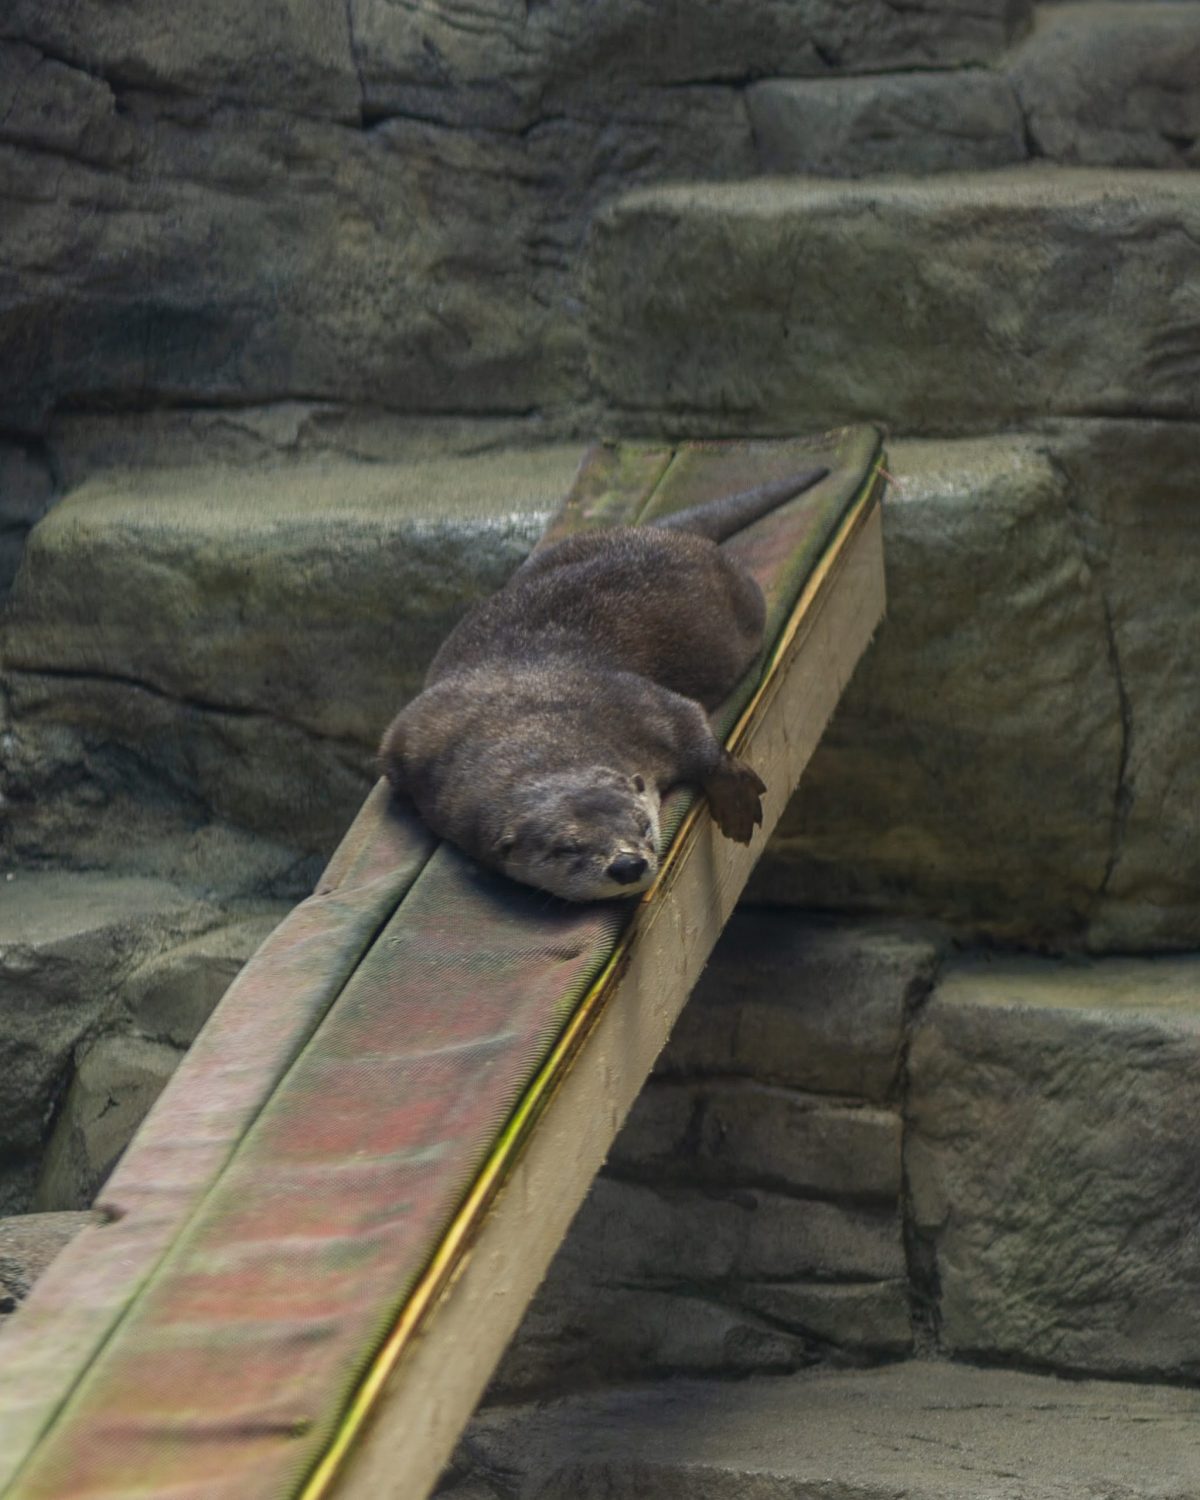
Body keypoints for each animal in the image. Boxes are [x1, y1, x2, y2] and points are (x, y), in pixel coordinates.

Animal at [379, 465, 828, 900]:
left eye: (643, 825)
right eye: (567, 847)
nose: (627, 864)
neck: (534, 726)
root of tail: (652, 531)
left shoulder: (637, 707)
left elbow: (695, 732)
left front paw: (735, 801)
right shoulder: (413, 745)